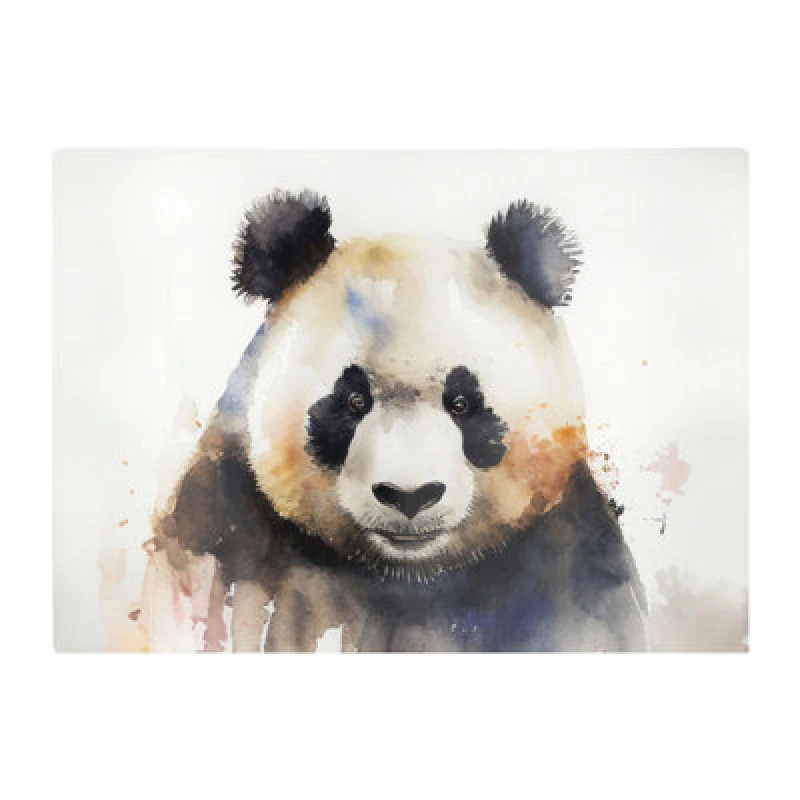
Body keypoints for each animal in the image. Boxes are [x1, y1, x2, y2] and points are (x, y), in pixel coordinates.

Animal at [150, 189, 648, 652]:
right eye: (352, 401)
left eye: (462, 403)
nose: (410, 495)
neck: (408, 578)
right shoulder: (229, 529)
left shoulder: (564, 552)